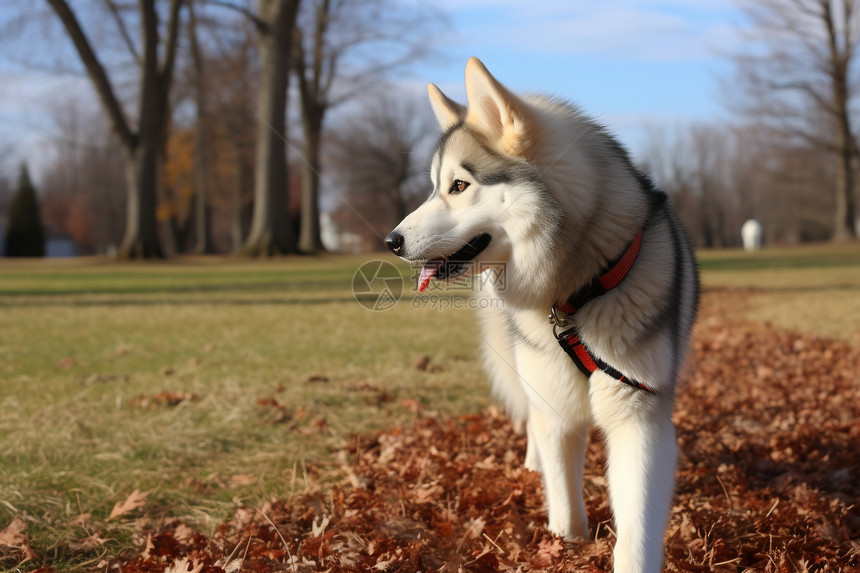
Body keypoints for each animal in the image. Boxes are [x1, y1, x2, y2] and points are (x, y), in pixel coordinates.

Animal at [386, 59, 704, 572]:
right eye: (436, 187)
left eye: (459, 186)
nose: (390, 241)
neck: (575, 291)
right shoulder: (555, 404)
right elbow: (564, 498)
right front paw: (566, 543)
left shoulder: (639, 414)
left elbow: (636, 529)